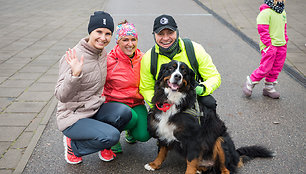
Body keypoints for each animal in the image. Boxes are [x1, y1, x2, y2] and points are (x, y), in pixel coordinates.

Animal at [143, 60, 274, 174]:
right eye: (171, 68)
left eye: (184, 71)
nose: (177, 76)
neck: (175, 101)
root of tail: (236, 155)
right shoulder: (163, 129)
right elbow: (161, 151)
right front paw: (154, 164)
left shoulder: (194, 138)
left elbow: (190, 161)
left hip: (221, 140)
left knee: (226, 169)